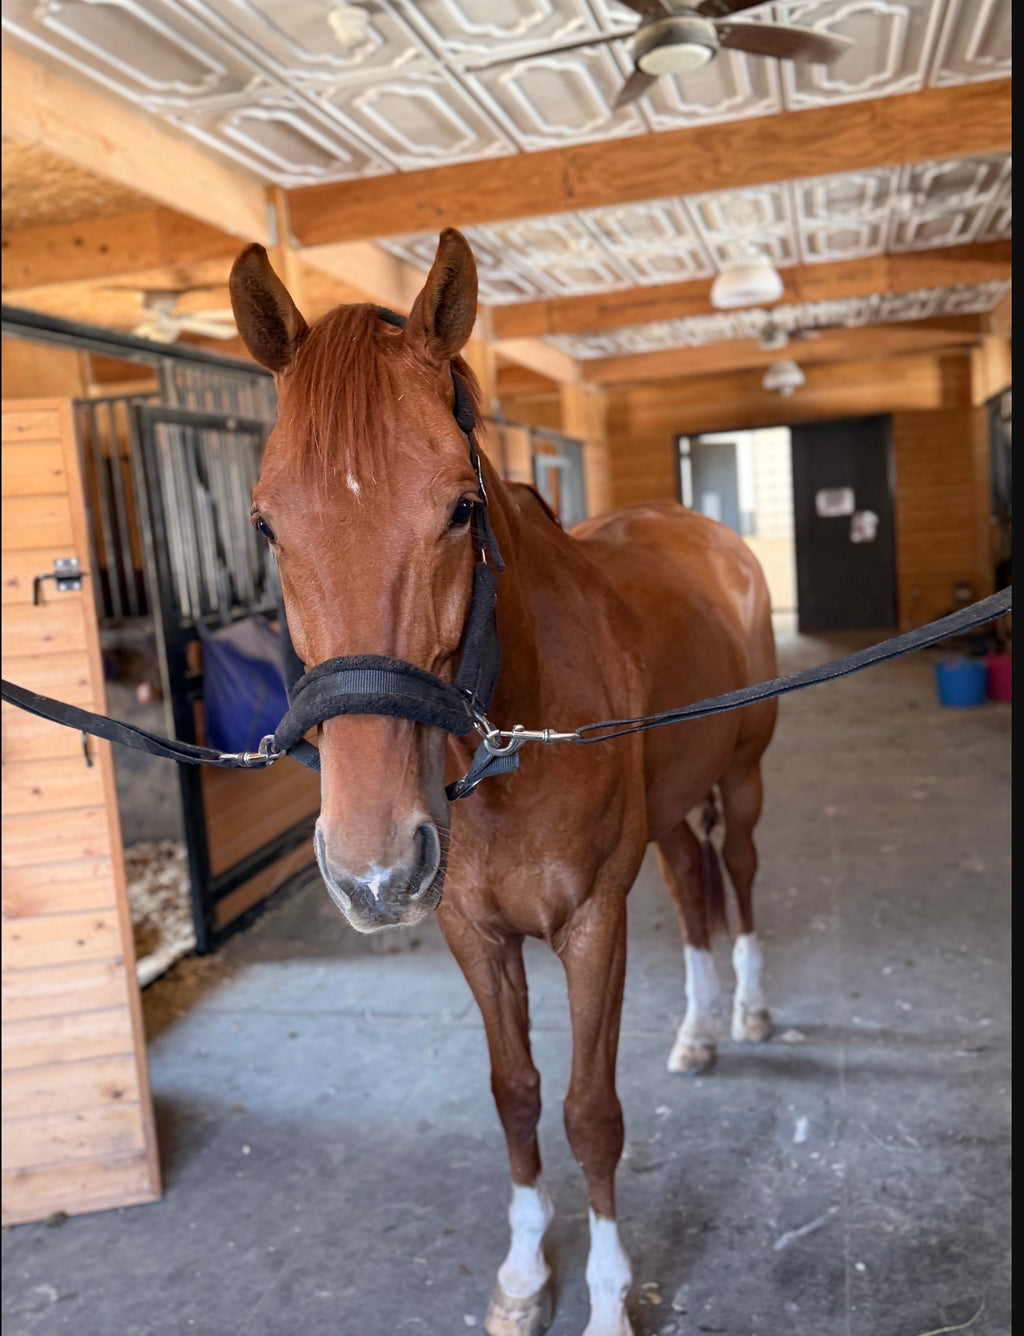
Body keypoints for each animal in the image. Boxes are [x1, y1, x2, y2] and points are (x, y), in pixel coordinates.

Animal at [228, 227, 778, 1336]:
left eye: (461, 506)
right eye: (267, 525)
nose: (374, 869)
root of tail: (706, 534)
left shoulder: (592, 924)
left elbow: (590, 1113)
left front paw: (607, 1301)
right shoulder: (473, 933)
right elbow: (515, 1093)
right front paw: (525, 1274)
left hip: (740, 781)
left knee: (737, 876)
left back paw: (744, 1010)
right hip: (671, 812)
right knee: (695, 885)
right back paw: (700, 1030)